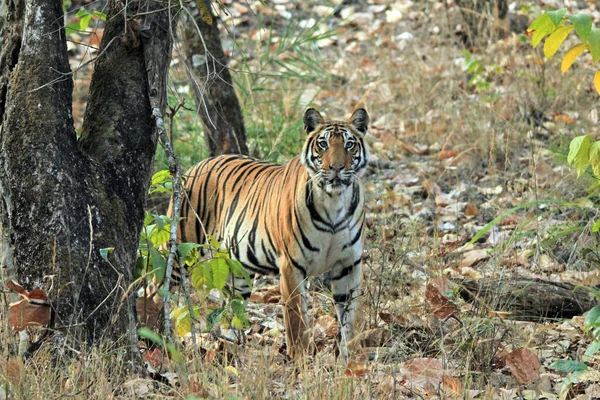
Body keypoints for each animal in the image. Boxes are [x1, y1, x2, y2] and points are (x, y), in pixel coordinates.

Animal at [176, 107, 368, 360]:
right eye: (323, 144)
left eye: (349, 145)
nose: (336, 168)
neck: (334, 201)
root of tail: (196, 165)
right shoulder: (292, 265)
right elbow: (296, 319)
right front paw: (301, 358)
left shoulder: (349, 264)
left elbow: (352, 316)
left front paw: (353, 358)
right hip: (181, 250)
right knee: (153, 290)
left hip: (237, 272)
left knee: (230, 310)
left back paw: (230, 347)